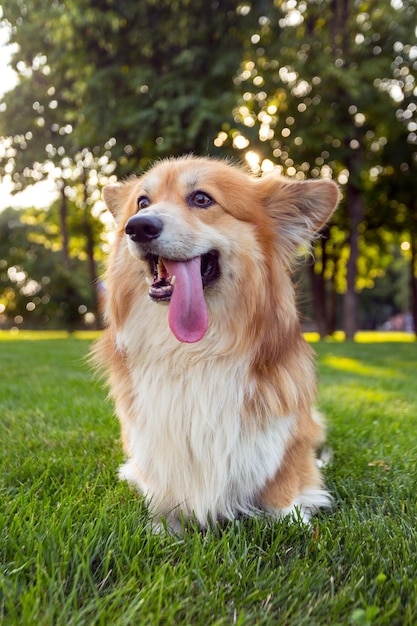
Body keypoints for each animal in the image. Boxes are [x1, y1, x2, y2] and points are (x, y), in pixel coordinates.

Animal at [93, 154, 338, 528]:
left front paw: (291, 518)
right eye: (142, 202)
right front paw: (163, 524)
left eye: (201, 199)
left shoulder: (285, 438)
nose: (138, 227)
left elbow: (284, 480)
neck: (193, 351)